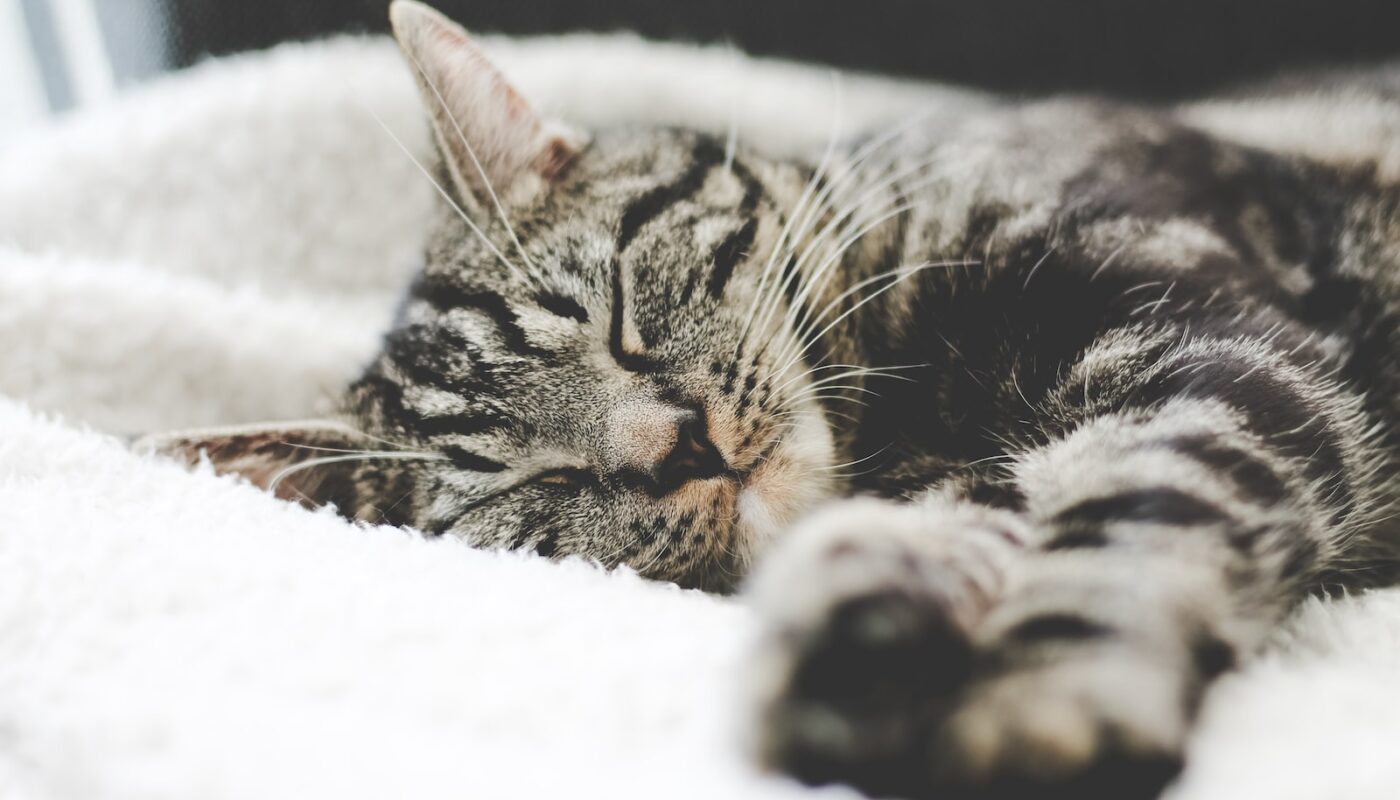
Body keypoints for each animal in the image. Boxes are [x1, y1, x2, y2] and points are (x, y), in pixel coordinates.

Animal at [144, 1, 1400, 800]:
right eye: (533, 483)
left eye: (615, 309)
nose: (672, 446)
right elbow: (945, 530)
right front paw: (860, 630)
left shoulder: (1213, 346)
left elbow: (1140, 507)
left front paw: (1042, 701)